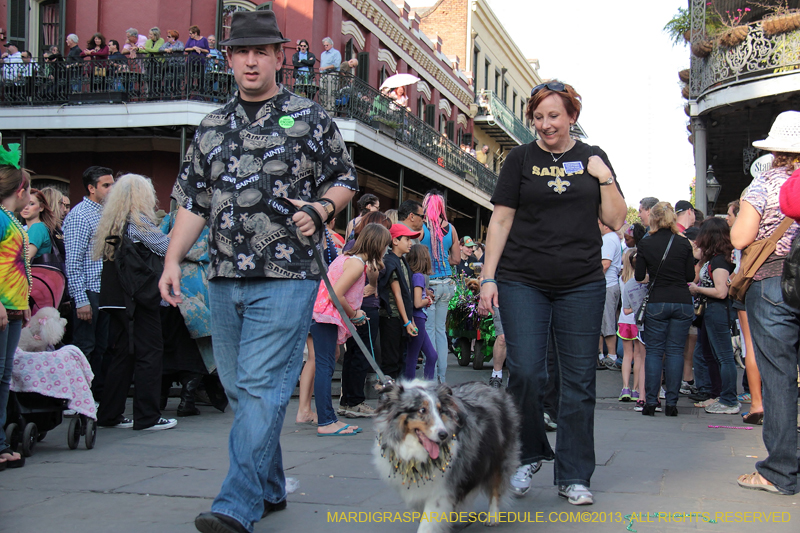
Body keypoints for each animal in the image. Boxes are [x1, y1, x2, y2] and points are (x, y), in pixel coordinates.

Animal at [374, 380, 520, 528]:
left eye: (440, 410)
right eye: (422, 410)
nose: (443, 435)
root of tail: (493, 387)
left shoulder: (440, 490)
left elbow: (427, 523)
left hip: (498, 458)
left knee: (496, 487)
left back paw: (492, 517)